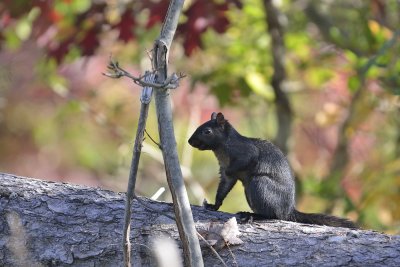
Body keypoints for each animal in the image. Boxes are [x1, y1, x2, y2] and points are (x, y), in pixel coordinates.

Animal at [189, 112, 358, 229]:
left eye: (207, 131)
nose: (190, 141)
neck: (221, 148)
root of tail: (288, 210)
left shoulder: (246, 152)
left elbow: (244, 162)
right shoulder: (225, 173)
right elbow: (223, 188)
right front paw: (214, 205)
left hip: (260, 184)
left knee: (273, 215)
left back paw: (252, 216)